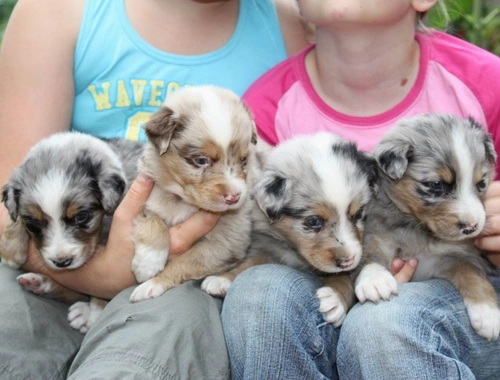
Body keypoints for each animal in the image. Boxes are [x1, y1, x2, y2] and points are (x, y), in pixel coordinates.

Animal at [0, 131, 132, 332]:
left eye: (81, 217)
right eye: (34, 222)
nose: (62, 262)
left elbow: (106, 282)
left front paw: (95, 312)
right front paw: (10, 249)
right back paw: (39, 283)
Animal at [129, 85, 256, 302]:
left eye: (244, 159)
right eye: (201, 160)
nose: (234, 197)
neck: (182, 201)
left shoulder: (226, 243)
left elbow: (182, 263)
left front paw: (152, 283)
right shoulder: (146, 201)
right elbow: (153, 222)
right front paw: (149, 261)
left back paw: (221, 281)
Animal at [202, 134, 376, 326]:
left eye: (358, 214)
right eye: (314, 221)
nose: (347, 261)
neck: (293, 249)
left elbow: (343, 276)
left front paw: (334, 298)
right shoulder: (266, 246)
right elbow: (251, 261)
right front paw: (222, 278)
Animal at [354, 113, 500, 342]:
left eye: (481, 184)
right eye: (436, 185)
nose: (471, 227)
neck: (419, 229)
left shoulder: (455, 256)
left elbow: (472, 273)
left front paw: (488, 314)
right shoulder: (376, 233)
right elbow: (371, 254)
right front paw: (375, 279)